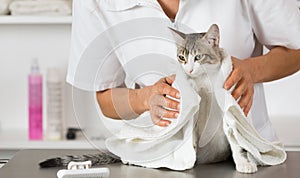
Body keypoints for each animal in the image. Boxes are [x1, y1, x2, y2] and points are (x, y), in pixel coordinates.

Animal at [169, 24, 258, 173]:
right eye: (181, 57)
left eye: (198, 57)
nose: (189, 70)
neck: (205, 80)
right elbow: (191, 134)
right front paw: (188, 160)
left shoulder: (228, 105)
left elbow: (235, 137)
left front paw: (243, 162)